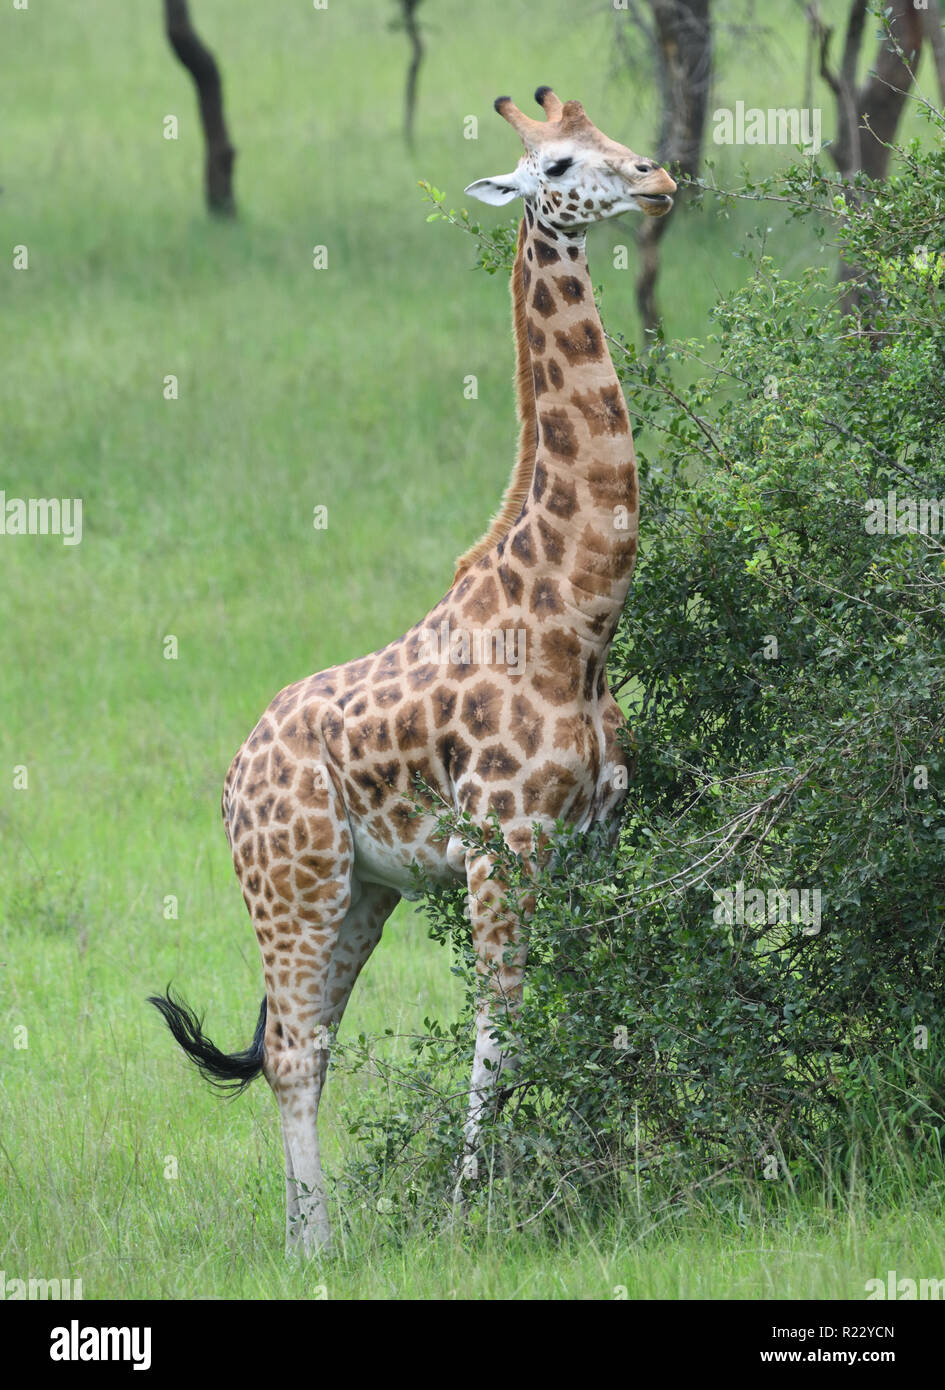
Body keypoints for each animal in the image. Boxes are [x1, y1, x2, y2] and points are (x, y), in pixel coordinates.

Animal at [149, 86, 675, 1256]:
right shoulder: (504, 847)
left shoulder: (594, 839)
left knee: (314, 1041)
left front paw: (603, 1173)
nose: (659, 178)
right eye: (561, 161)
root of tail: (233, 773)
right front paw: (475, 1209)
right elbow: (500, 1024)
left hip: (361, 892)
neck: (578, 618)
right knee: (293, 1050)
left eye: (616, 134)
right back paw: (313, 1245)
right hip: (291, 879)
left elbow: (600, 1004)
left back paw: (314, 1234)